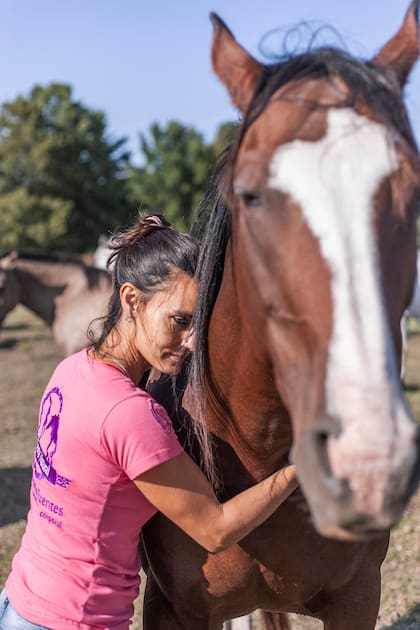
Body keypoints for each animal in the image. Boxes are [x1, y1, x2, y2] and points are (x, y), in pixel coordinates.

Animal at [141, 4, 420, 630]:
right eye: (249, 195)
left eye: (415, 195)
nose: (368, 461)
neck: (251, 453)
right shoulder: (172, 609)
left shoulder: (358, 599)